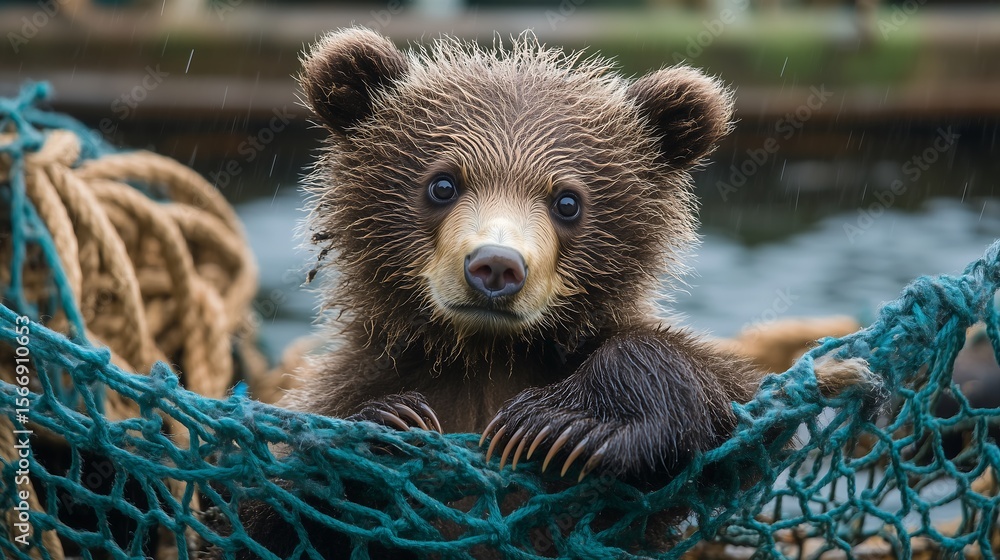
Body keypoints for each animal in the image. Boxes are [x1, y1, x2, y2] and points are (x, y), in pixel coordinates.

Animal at [227, 27, 868, 558]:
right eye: (442, 183)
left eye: (567, 200)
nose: (495, 266)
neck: (485, 356)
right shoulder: (345, 385)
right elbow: (268, 505)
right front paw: (390, 427)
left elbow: (719, 398)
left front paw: (558, 425)